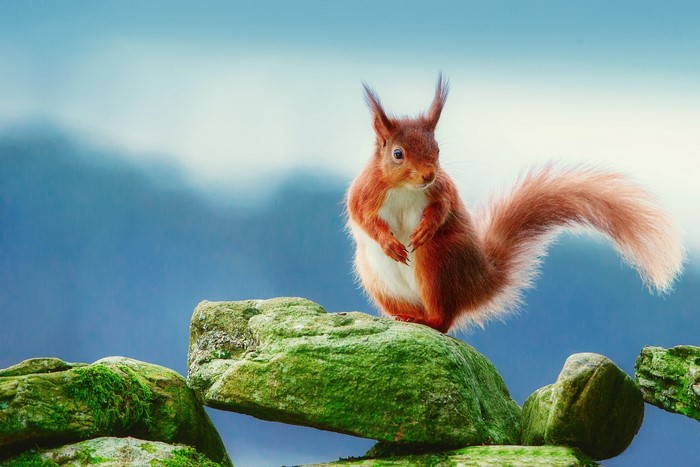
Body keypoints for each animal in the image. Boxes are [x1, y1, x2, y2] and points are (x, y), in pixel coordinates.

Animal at [346, 74, 685, 333]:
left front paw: (425, 228)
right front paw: (388, 242)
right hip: (377, 278)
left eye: (437, 149)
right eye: (398, 154)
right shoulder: (365, 192)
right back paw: (405, 316)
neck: (405, 188)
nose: (428, 175)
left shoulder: (443, 190)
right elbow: (361, 217)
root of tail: (480, 282)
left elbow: (442, 210)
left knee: (444, 320)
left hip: (438, 261)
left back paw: (427, 319)